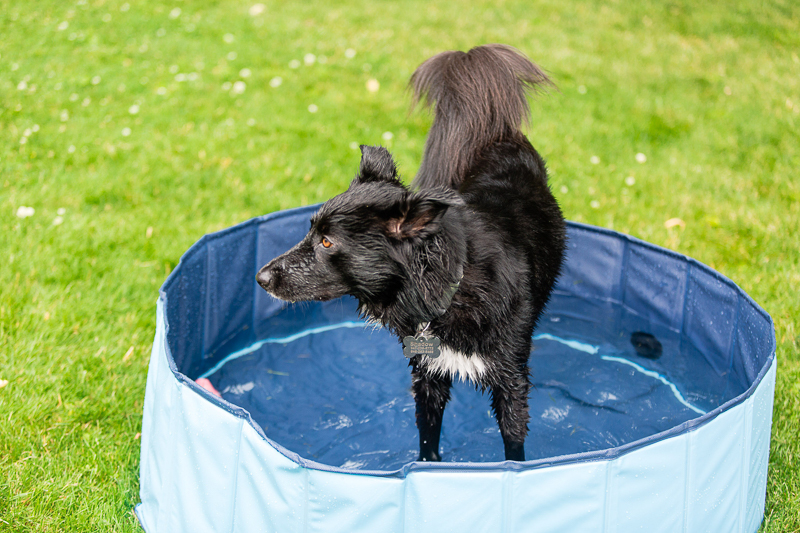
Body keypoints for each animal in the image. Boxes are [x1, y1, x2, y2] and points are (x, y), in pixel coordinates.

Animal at [255, 44, 564, 462]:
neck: (450, 288)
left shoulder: (511, 381)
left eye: (327, 242)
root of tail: (497, 132)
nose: (260, 277)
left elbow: (513, 447)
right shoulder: (428, 375)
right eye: (311, 231)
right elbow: (427, 439)